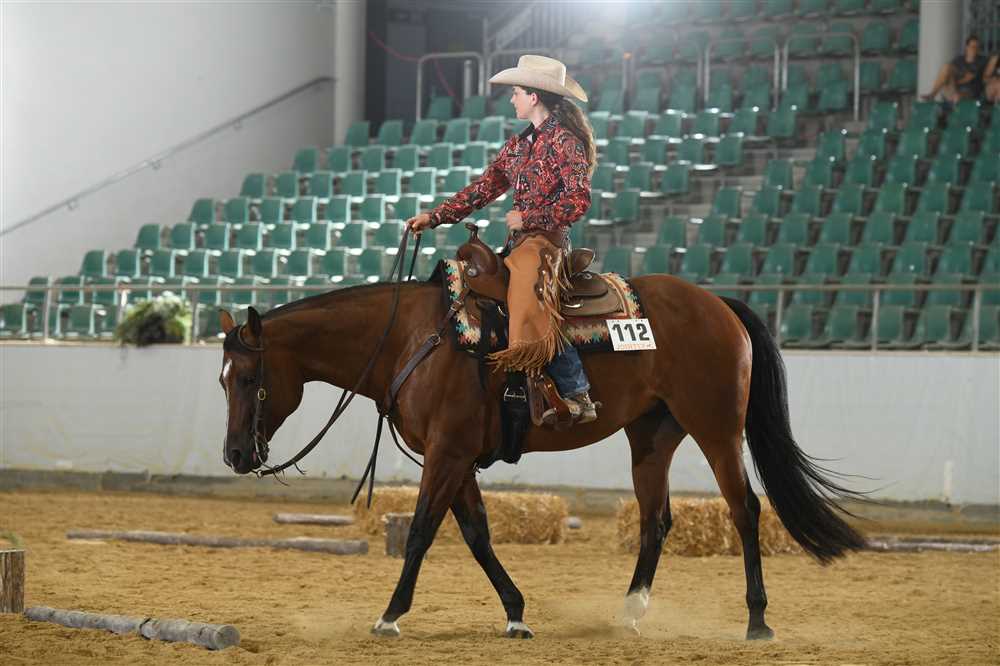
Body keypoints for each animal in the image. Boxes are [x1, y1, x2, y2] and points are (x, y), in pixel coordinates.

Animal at [216, 271, 866, 641]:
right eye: (223, 380)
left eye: (248, 378)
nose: (235, 454)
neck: (410, 338)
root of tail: (719, 305)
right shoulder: (455, 456)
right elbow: (476, 534)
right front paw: (515, 611)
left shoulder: (447, 453)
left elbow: (424, 529)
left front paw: (391, 615)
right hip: (651, 437)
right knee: (656, 520)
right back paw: (630, 612)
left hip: (717, 427)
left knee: (744, 510)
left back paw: (757, 620)